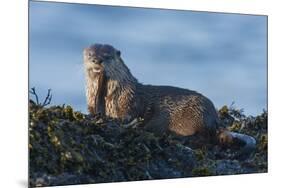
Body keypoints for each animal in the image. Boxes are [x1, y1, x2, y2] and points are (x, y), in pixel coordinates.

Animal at [82, 43, 255, 151]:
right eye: (90, 54)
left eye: (108, 56)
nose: (97, 60)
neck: (114, 96)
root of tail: (215, 119)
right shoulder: (91, 105)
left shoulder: (130, 103)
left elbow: (129, 115)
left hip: (196, 115)